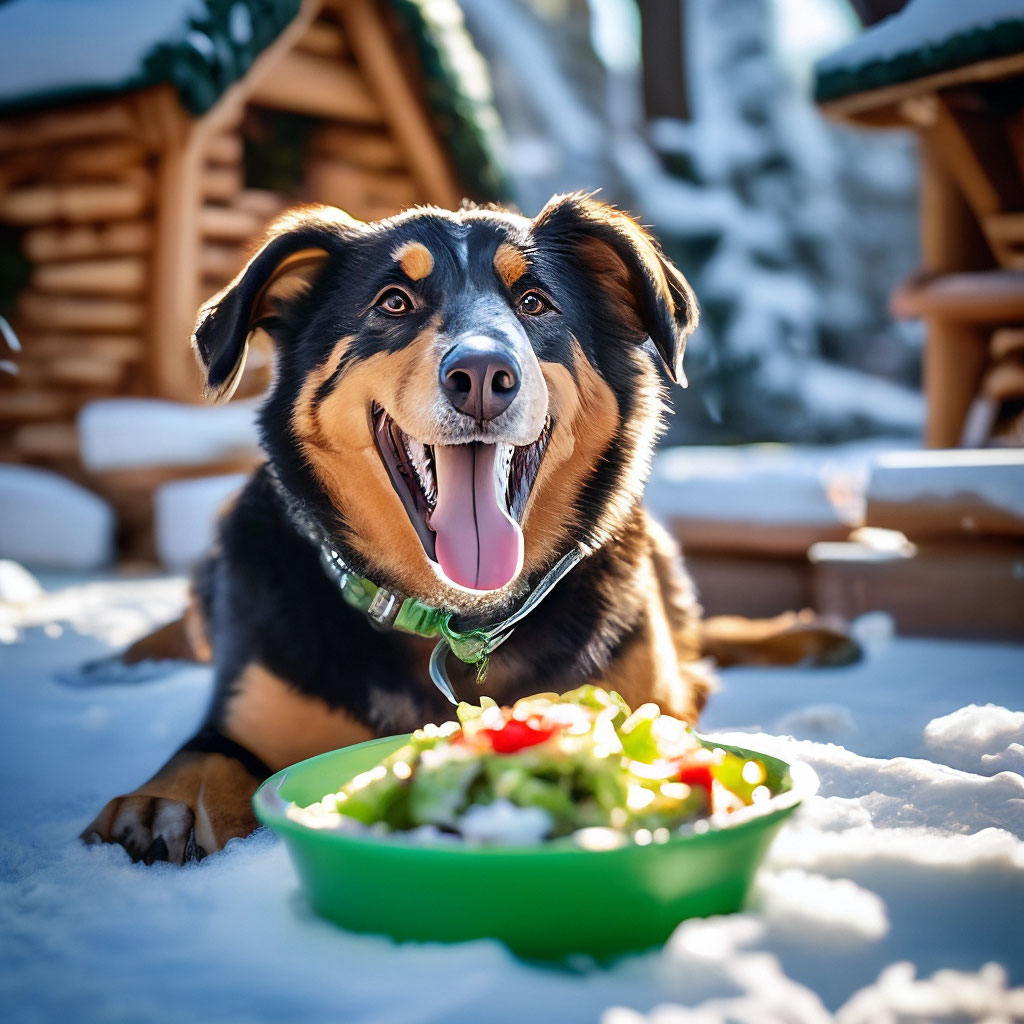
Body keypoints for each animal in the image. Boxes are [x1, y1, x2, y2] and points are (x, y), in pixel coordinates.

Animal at [79, 192, 851, 864]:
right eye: (393, 301)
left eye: (535, 301)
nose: (483, 374)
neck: (457, 619)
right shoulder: (247, 708)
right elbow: (205, 755)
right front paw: (166, 801)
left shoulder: (649, 695)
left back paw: (804, 637)